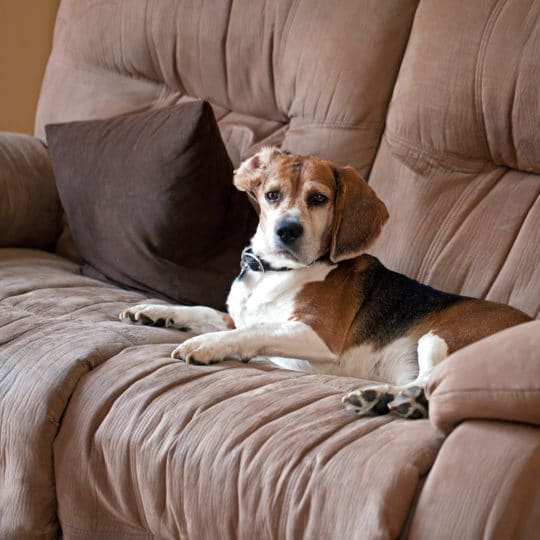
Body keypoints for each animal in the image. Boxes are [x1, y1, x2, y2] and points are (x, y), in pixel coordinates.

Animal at [119, 147, 532, 418]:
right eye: (272, 195)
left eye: (318, 198)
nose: (287, 230)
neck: (274, 272)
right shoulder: (237, 315)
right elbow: (207, 311)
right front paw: (154, 311)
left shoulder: (316, 336)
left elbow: (253, 331)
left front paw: (207, 345)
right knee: (422, 384)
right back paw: (384, 399)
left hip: (441, 336)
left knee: (433, 381)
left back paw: (384, 397)